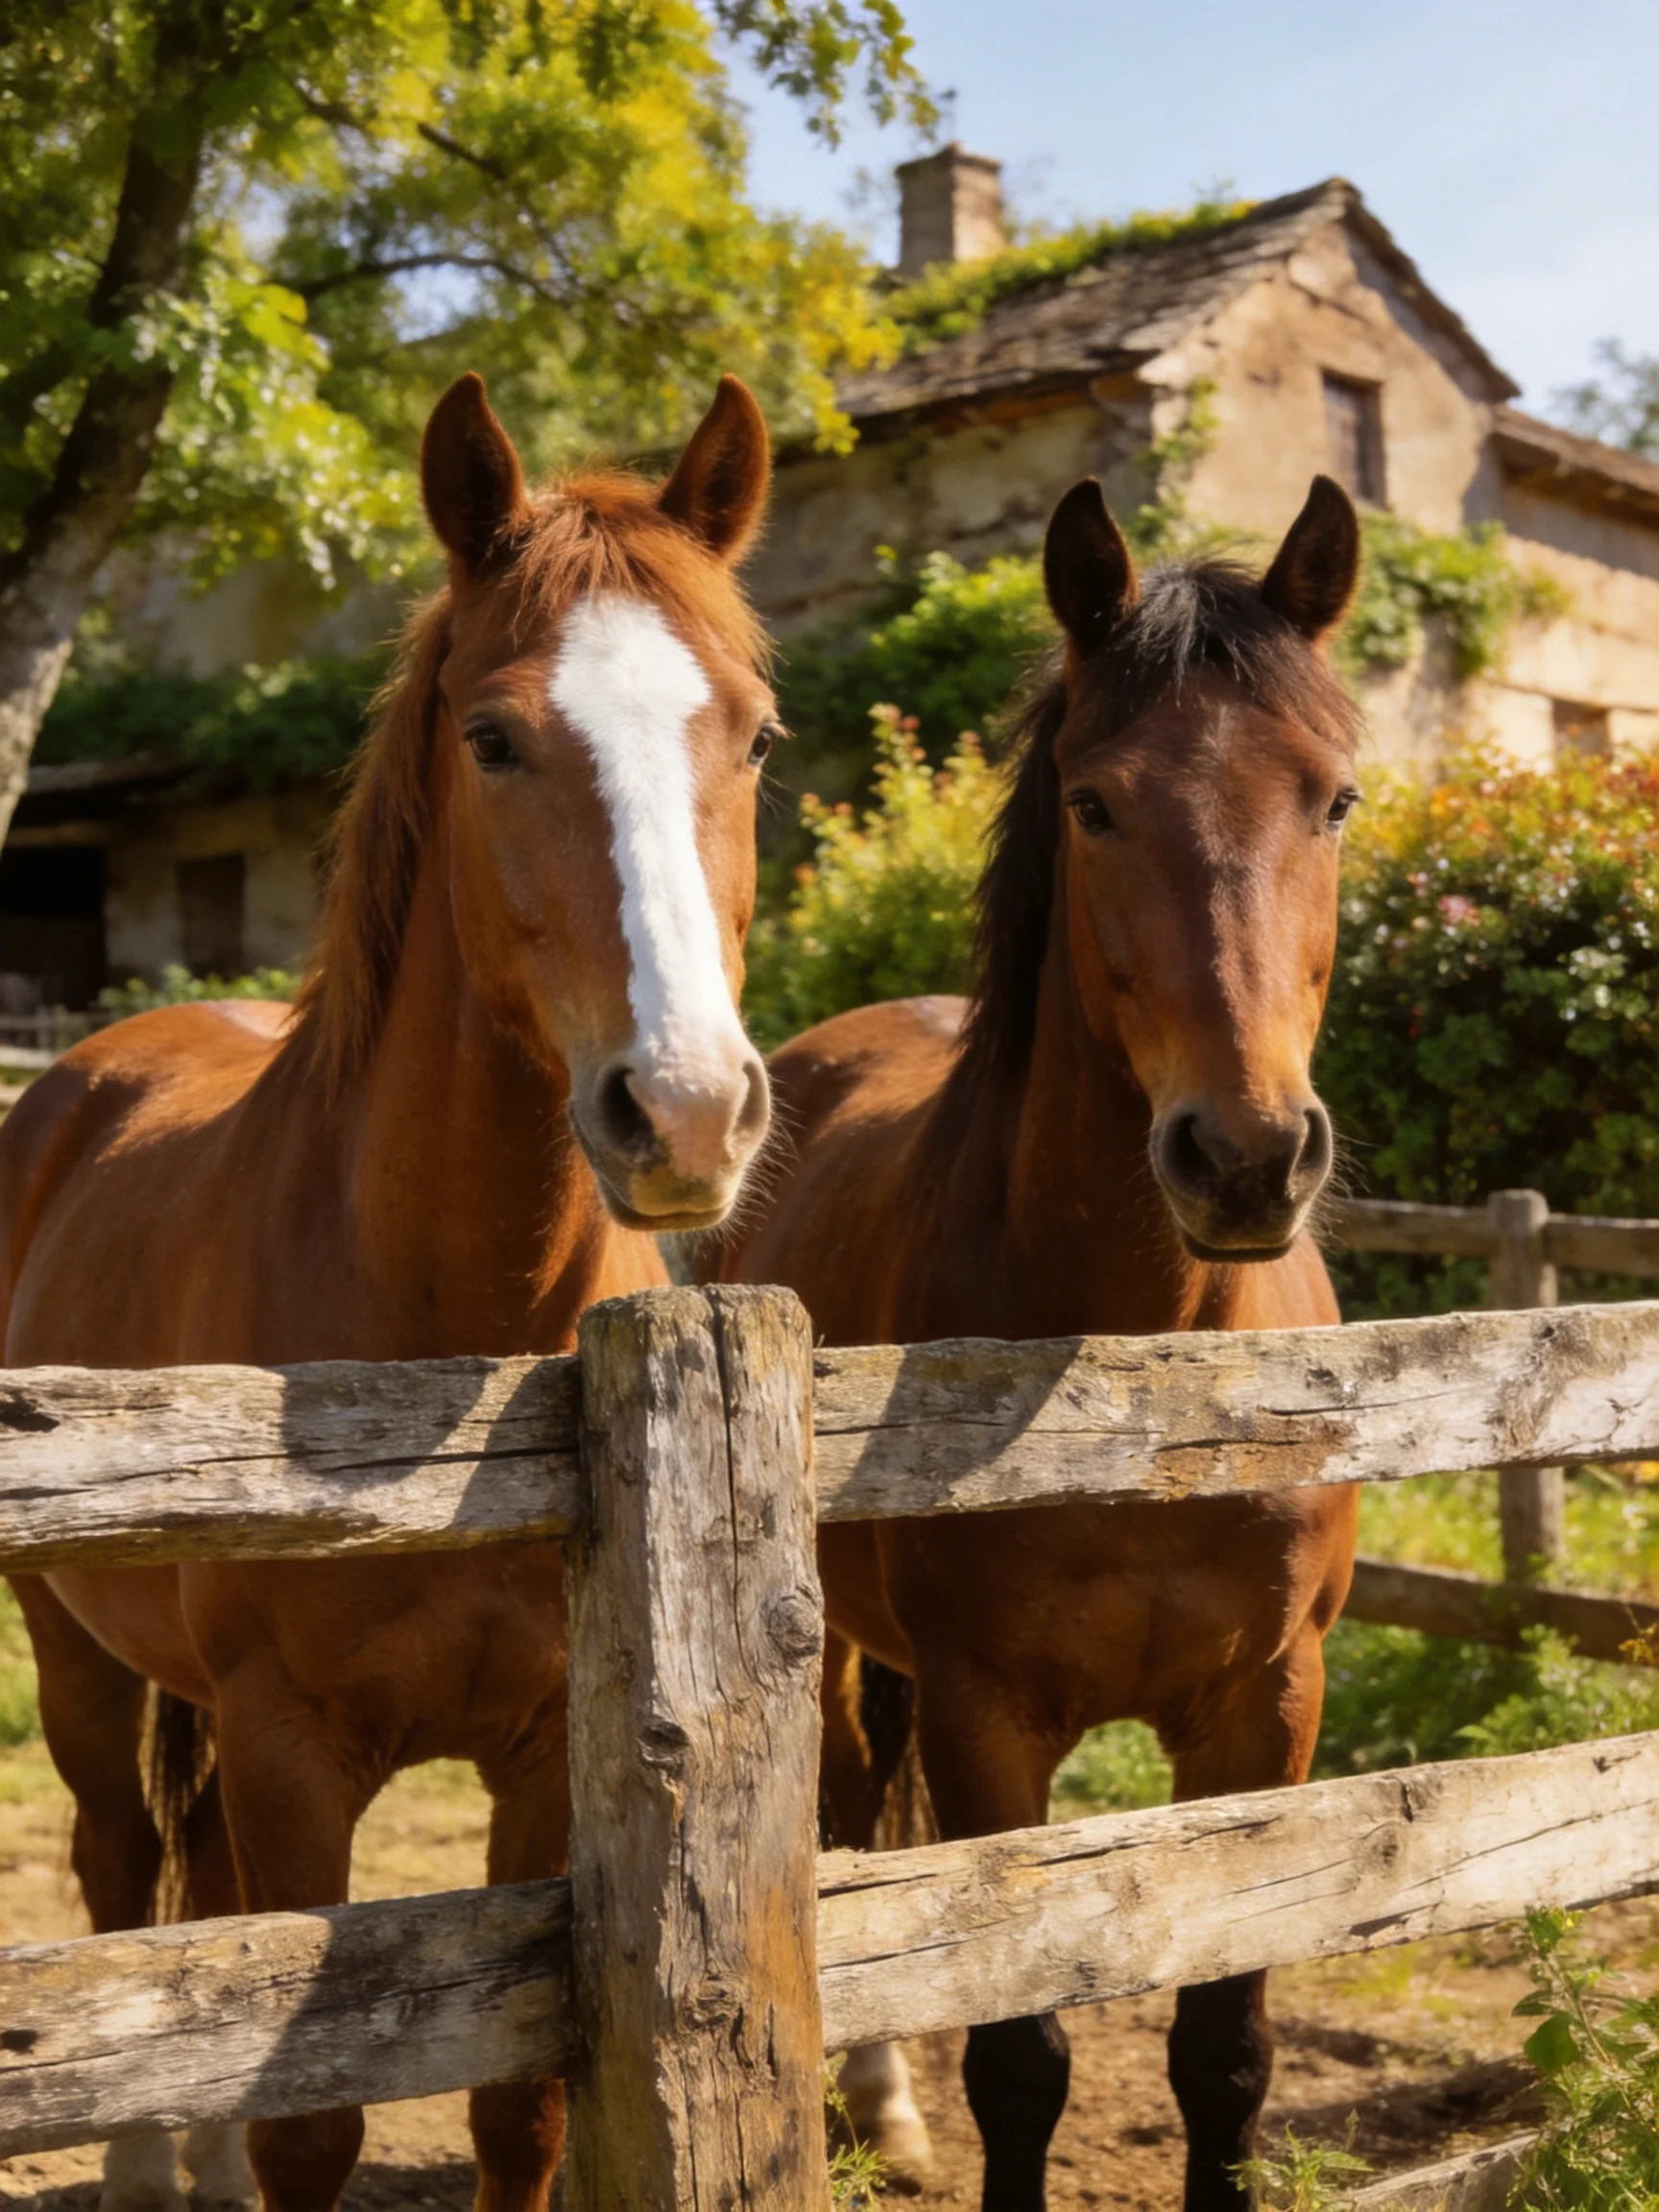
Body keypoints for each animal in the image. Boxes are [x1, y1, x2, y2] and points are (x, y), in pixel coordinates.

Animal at [3, 366, 778, 2212]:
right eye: (493, 737)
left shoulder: (544, 1749)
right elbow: (312, 2113)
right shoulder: (294, 1752)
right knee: (122, 1875)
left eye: (756, 736)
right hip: (74, 1647)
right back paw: (146, 2166)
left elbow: (516, 2110)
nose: (685, 1108)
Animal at [713, 473, 1365, 2211]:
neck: (1141, 1390)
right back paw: (873, 2104)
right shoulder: (986, 1713)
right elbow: (1019, 2050)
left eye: (1335, 801)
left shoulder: (1267, 1706)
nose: (1244, 1155)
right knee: (847, 1815)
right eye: (1094, 805)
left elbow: (1223, 2050)